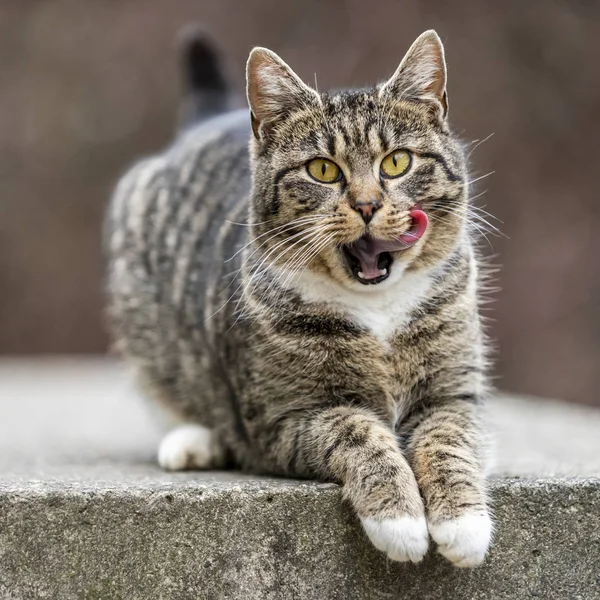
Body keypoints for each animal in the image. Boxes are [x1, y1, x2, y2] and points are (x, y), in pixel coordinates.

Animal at [106, 29, 492, 568]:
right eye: (323, 170)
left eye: (397, 162)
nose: (368, 205)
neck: (377, 308)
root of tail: (210, 117)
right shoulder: (284, 417)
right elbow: (357, 431)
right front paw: (399, 521)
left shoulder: (453, 393)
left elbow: (448, 440)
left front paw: (464, 525)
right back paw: (193, 440)